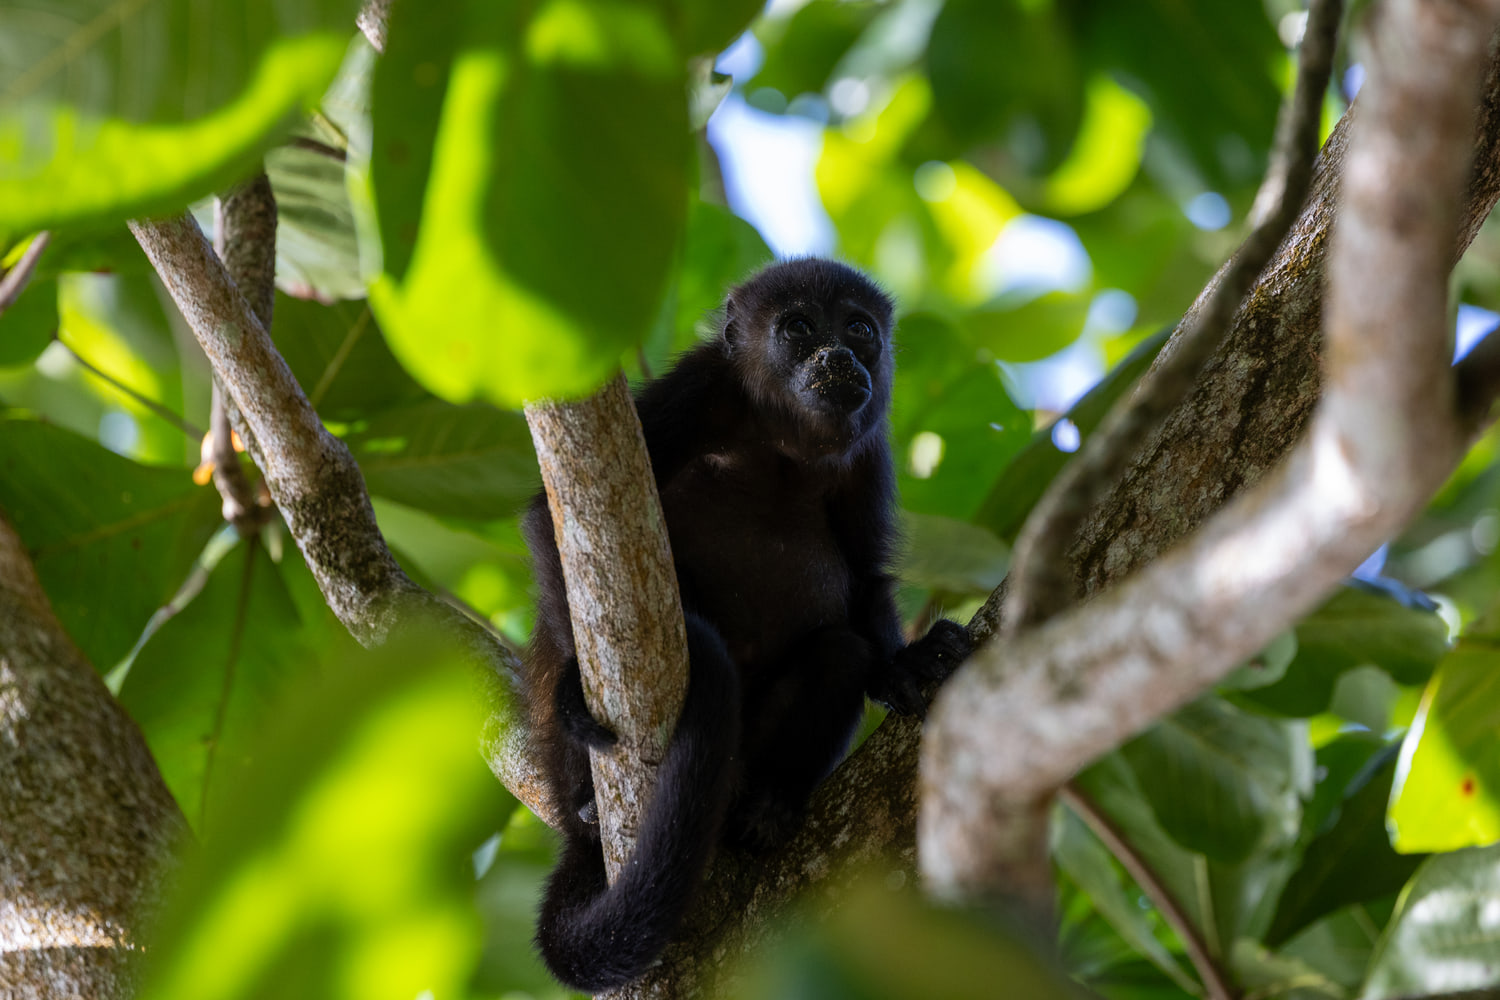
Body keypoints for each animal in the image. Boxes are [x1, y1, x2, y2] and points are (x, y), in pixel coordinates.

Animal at [520, 258, 973, 992]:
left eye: (859, 328)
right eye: (798, 328)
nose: (839, 356)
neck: (785, 436)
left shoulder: (868, 448)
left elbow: (864, 578)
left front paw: (906, 664)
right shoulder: (699, 385)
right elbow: (548, 518)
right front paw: (569, 692)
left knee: (840, 652)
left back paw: (767, 809)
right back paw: (587, 802)